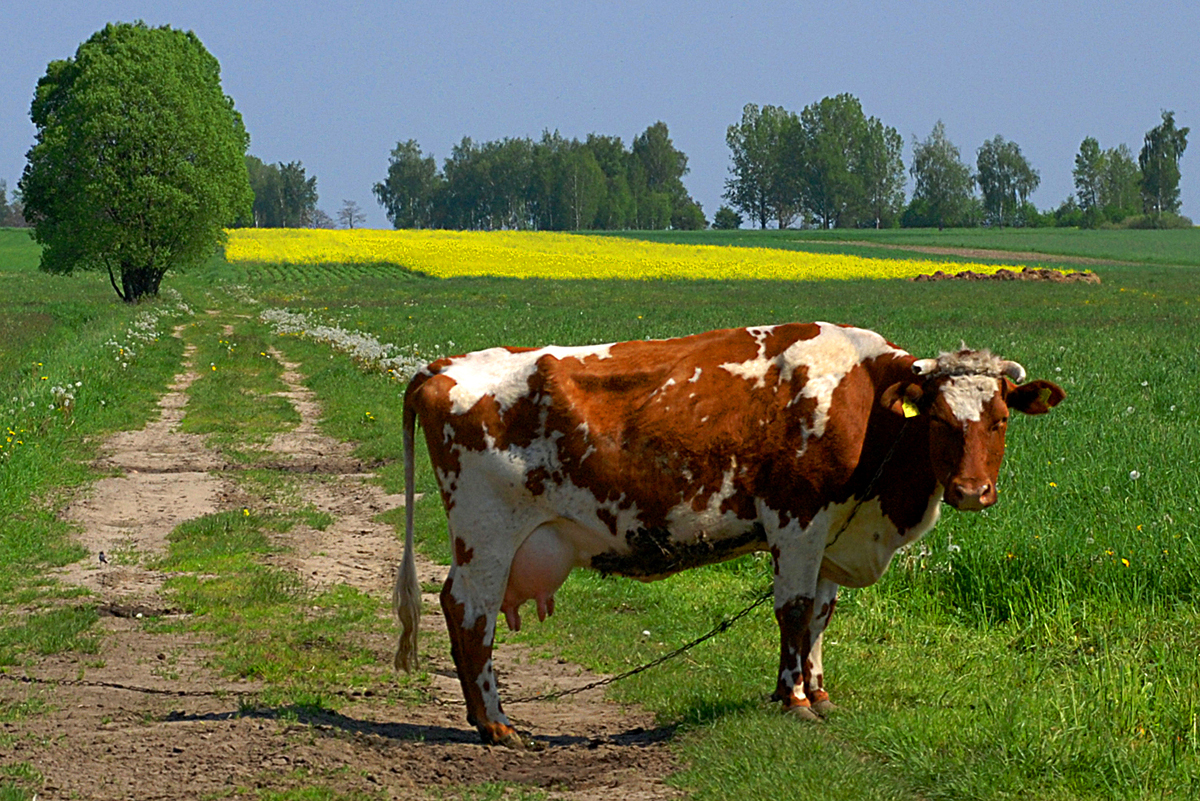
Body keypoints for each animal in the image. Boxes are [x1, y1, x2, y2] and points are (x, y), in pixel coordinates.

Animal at [391, 322, 1065, 748]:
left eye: (1000, 419)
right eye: (942, 420)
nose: (972, 492)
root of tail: (443, 366)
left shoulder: (828, 536)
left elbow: (821, 615)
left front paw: (815, 692)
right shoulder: (797, 520)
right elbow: (794, 611)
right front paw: (795, 703)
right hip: (486, 536)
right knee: (468, 612)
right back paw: (495, 724)